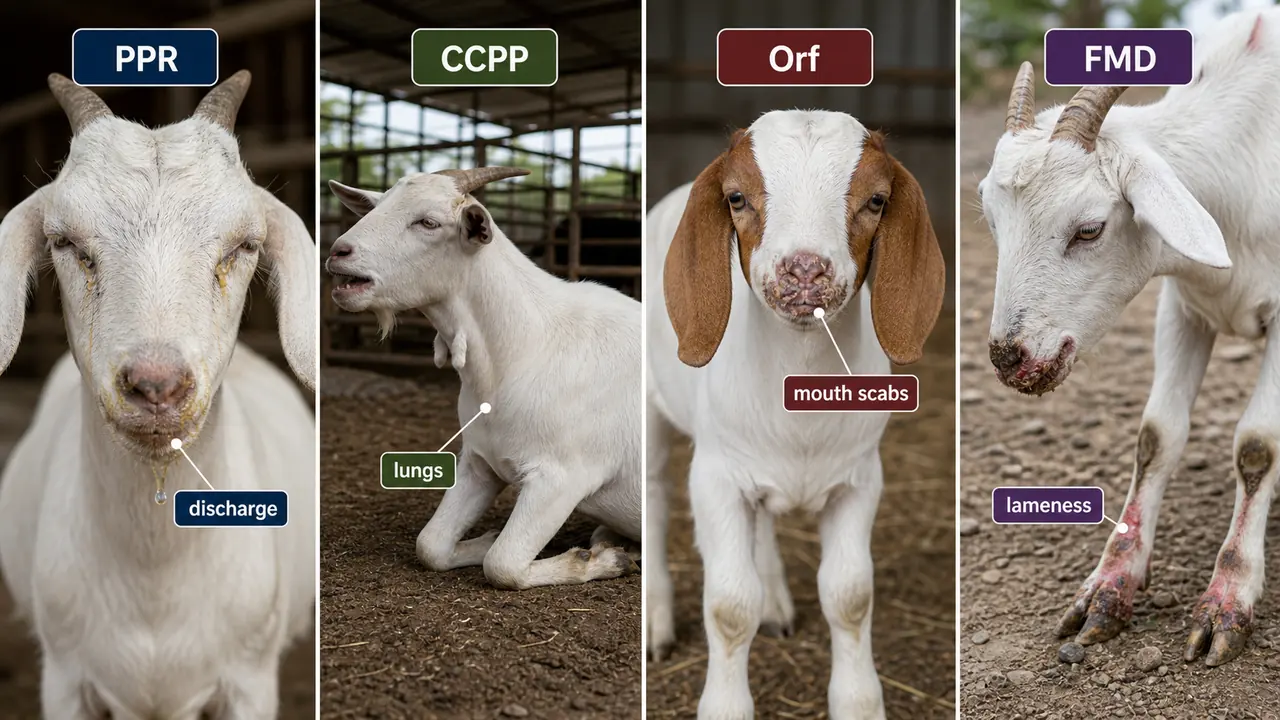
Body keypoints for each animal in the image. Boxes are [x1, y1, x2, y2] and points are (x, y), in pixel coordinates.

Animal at [327, 168, 640, 590]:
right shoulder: (479, 460)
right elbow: (431, 545)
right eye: (377, 206)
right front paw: (484, 538)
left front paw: (602, 562)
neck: (522, 350)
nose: (338, 252)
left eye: (428, 222)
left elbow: (503, 563)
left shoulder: (563, 476)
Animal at [647, 110, 945, 719]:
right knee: (652, 496)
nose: (804, 270)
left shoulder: (861, 477)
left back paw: (775, 605)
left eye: (876, 200)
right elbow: (728, 604)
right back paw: (657, 625)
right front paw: (725, 707)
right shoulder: (715, 478)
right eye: (736, 197)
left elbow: (851, 595)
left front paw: (859, 704)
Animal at [978, 8, 1280, 667]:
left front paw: (1227, 600)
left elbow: (1257, 447)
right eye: (991, 220)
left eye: (1090, 230)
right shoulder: (1184, 304)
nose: (1009, 357)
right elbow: (1155, 436)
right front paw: (1108, 590)